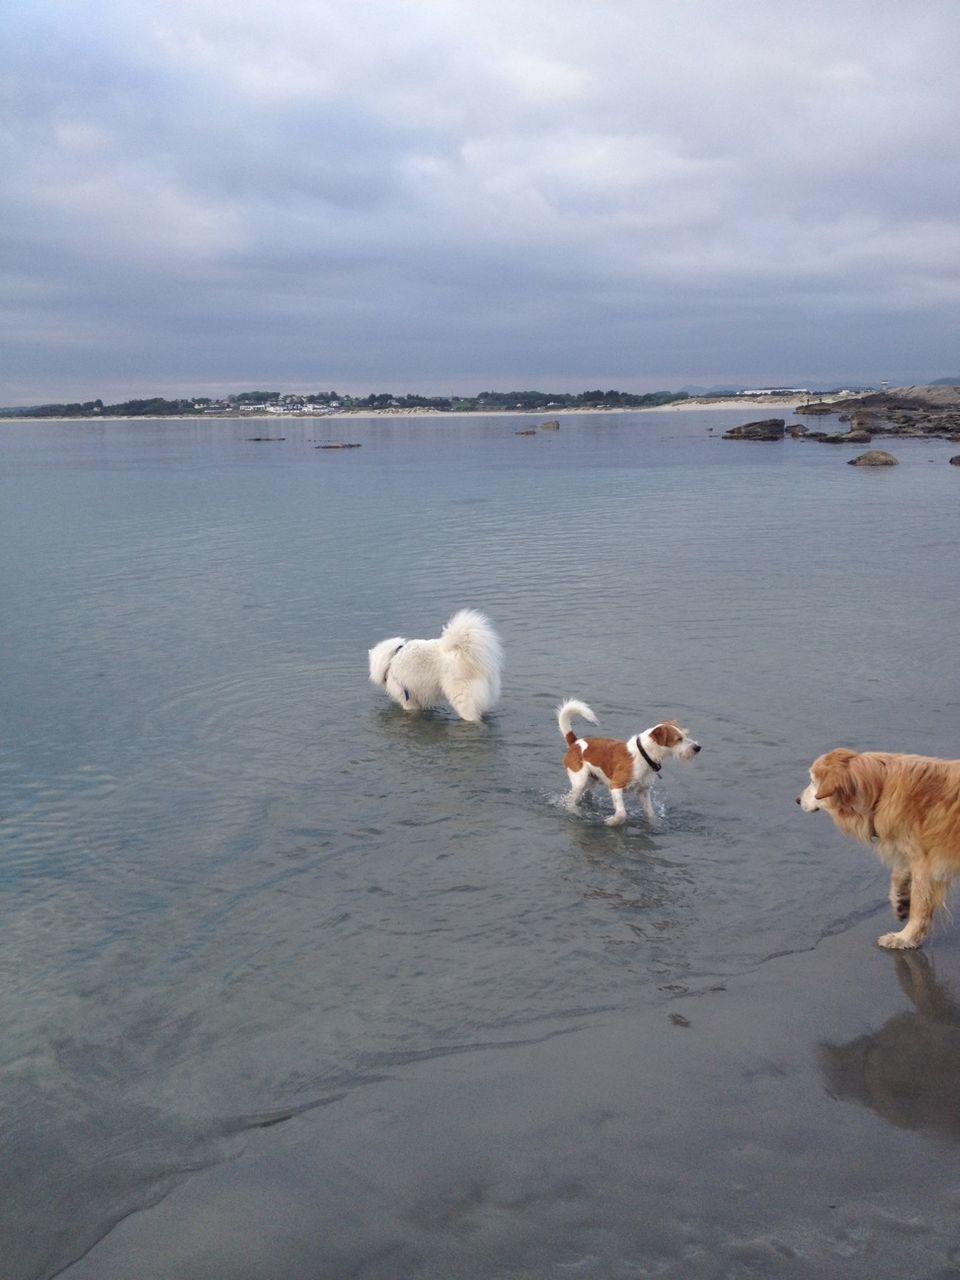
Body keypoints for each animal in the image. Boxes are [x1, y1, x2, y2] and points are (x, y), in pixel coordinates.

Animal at [798, 747, 960, 952]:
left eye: (812, 781)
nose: (797, 800)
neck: (881, 790)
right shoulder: (912, 851)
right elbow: (899, 872)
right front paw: (900, 899)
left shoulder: (927, 863)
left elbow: (920, 904)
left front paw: (905, 937)